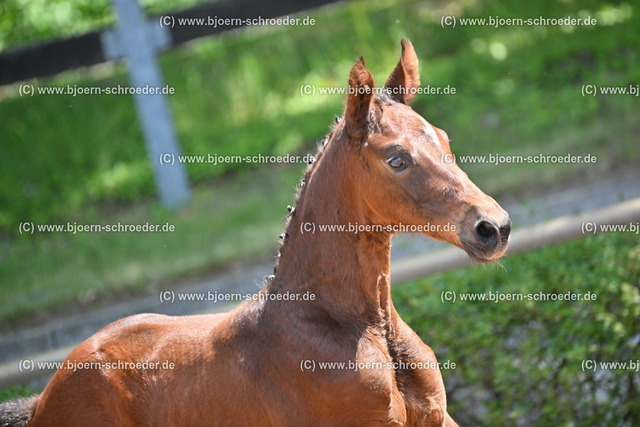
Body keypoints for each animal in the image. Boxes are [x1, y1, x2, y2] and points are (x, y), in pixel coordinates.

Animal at [0, 40, 510, 426]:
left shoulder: (437, 419)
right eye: (397, 159)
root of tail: (44, 396)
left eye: (443, 139)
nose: (493, 227)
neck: (359, 326)